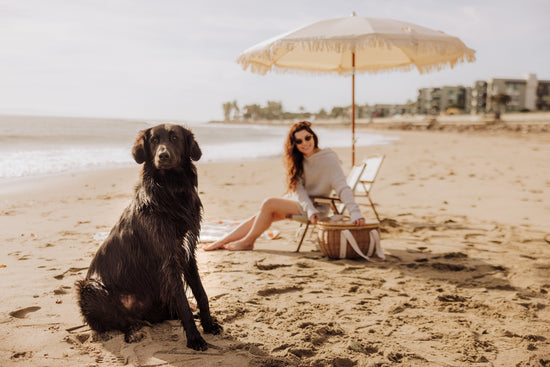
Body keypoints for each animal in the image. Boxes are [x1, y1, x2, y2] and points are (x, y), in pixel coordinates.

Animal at [76, 123, 222, 350]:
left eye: (174, 137)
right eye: (154, 140)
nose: (163, 155)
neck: (172, 189)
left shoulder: (188, 253)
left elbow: (201, 293)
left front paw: (208, 324)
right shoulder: (169, 258)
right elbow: (183, 302)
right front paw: (194, 338)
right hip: (89, 288)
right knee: (118, 322)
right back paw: (133, 331)